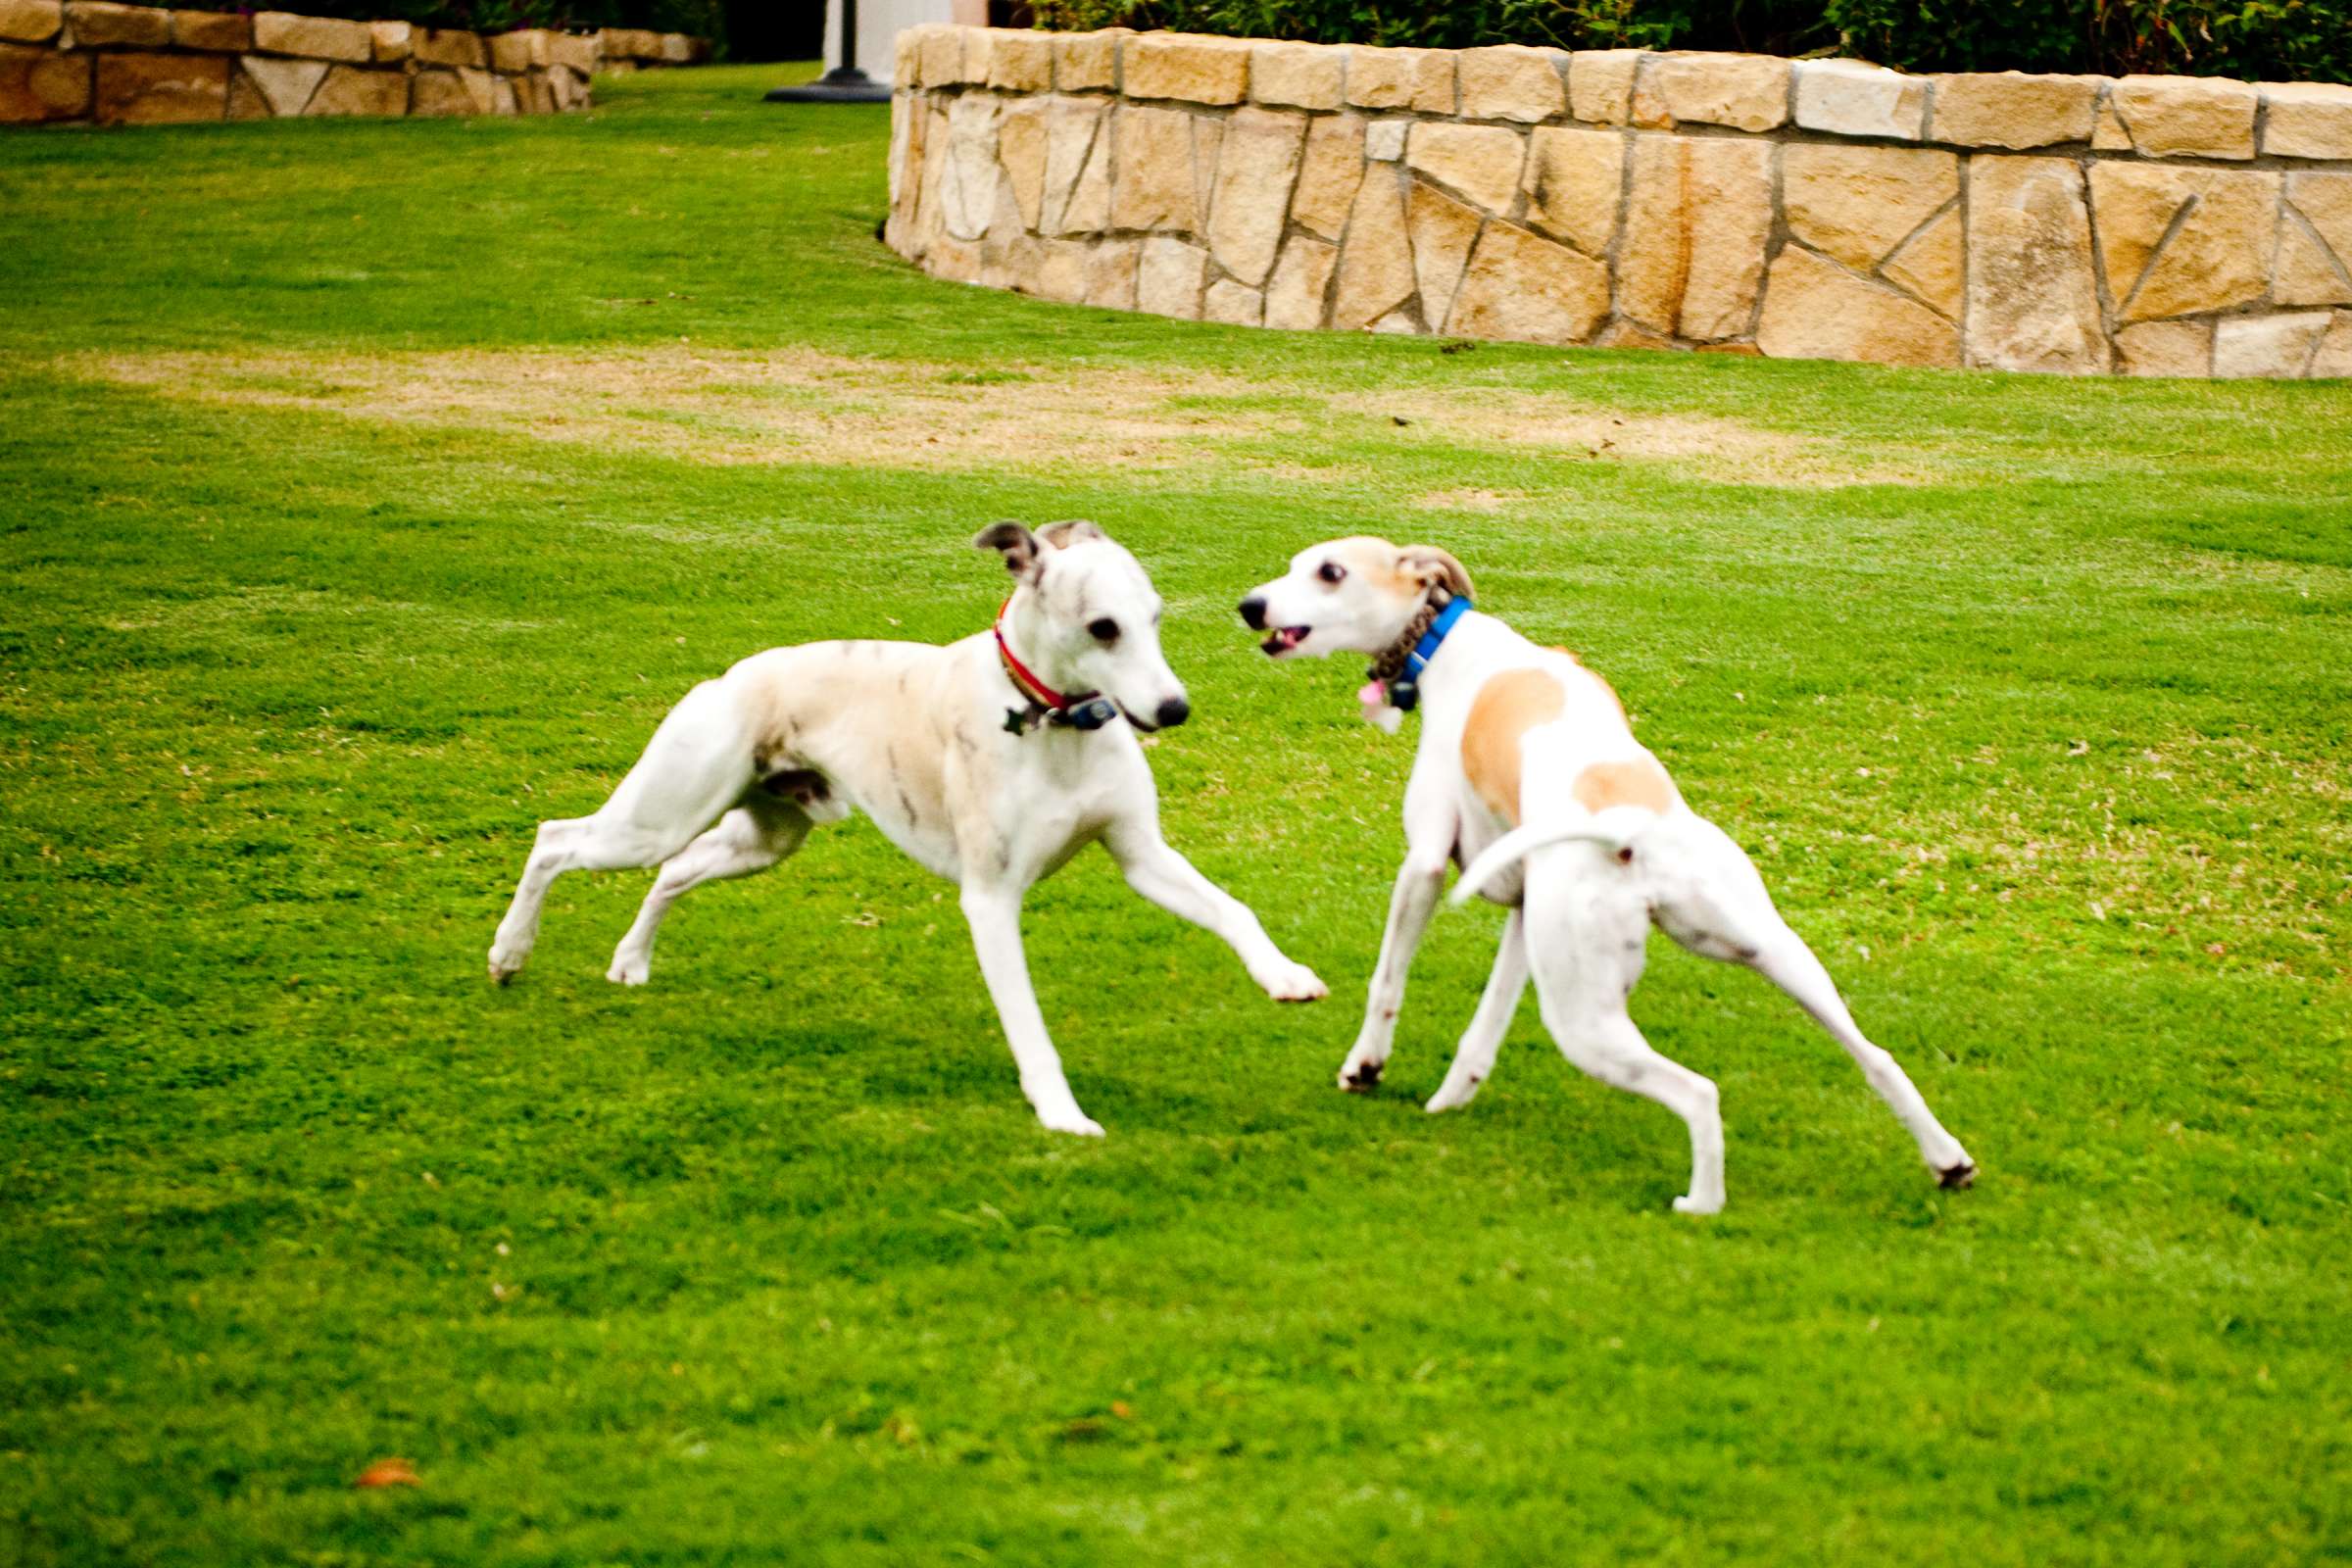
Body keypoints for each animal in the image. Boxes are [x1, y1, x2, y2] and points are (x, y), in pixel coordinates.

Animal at [489, 521, 1326, 1133]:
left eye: (1154, 617)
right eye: (1102, 627)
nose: (1174, 709)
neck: (1050, 722)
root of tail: (732, 676)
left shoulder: (1141, 855)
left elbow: (1233, 910)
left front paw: (1284, 976)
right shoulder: (991, 900)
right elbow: (1029, 1025)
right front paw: (1062, 1116)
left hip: (762, 839)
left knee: (671, 872)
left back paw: (630, 961)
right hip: (658, 815)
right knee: (556, 838)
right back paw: (508, 952)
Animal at [1242, 540, 1976, 1212]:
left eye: (1330, 571)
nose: (1250, 606)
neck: (1450, 644)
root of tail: (1634, 835)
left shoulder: (1425, 862)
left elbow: (1387, 981)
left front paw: (1365, 1066)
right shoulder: (1524, 909)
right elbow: (1485, 1026)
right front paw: (1452, 1097)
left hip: (1585, 1022)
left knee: (1700, 1092)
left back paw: (1701, 1204)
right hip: (1769, 953)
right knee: (1877, 1057)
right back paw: (1948, 1160)